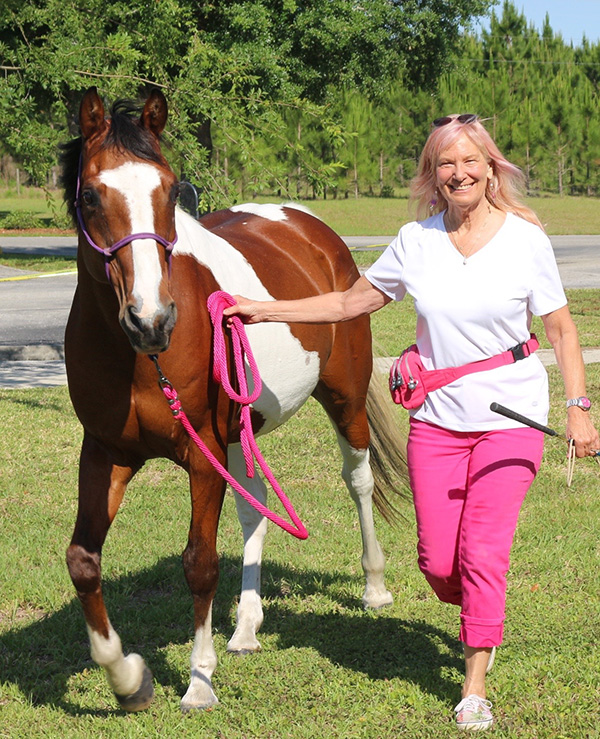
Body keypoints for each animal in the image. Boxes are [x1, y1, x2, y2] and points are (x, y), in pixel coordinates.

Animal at [60, 87, 408, 713]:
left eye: (170, 189)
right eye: (92, 195)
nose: (151, 320)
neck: (141, 360)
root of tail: (311, 227)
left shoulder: (200, 456)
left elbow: (200, 563)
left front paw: (198, 681)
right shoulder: (104, 453)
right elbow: (83, 561)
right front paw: (129, 680)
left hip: (342, 400)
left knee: (358, 479)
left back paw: (373, 586)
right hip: (238, 432)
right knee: (256, 507)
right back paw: (246, 627)